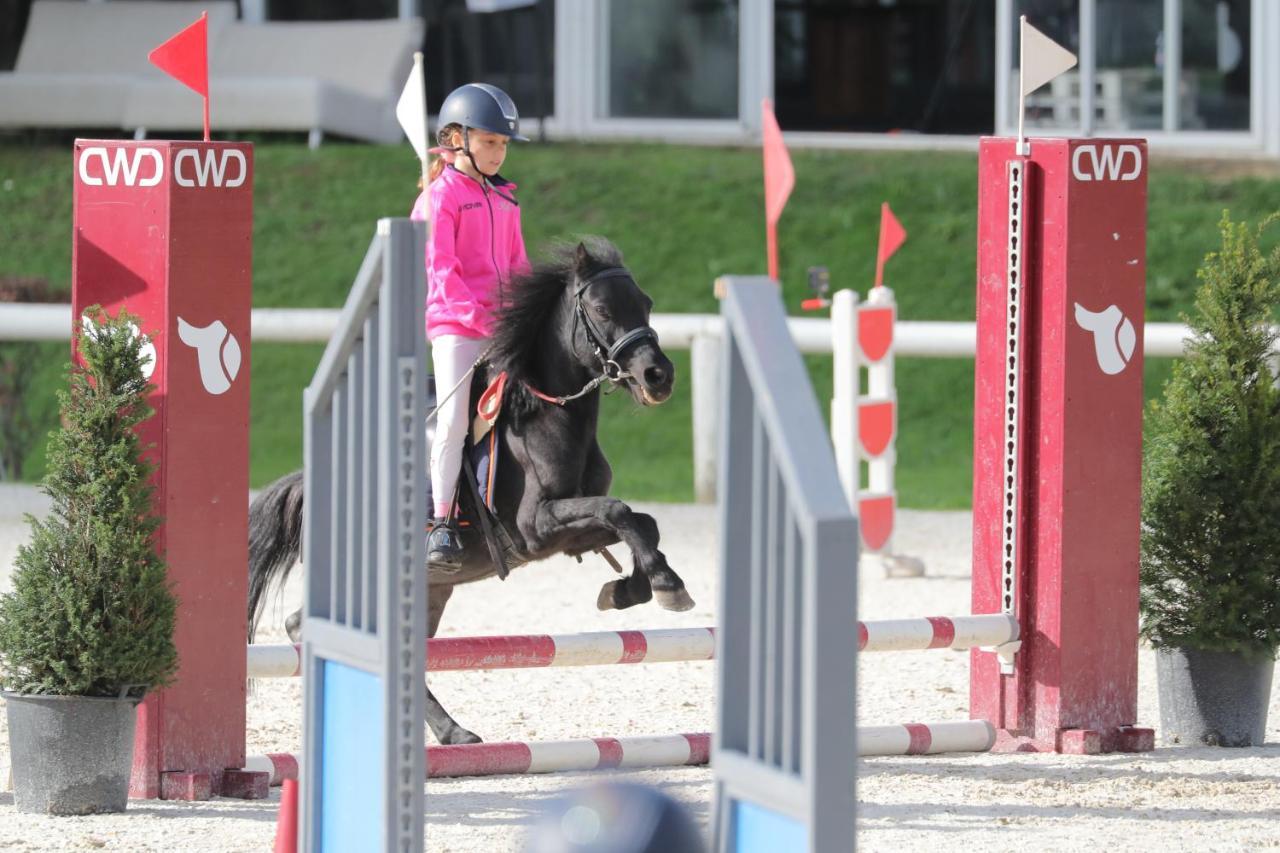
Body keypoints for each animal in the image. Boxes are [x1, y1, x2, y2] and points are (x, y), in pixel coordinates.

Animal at [245, 235, 696, 742]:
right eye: (601, 309)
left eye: (646, 304)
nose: (659, 376)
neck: (548, 414)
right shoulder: (538, 525)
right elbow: (618, 511)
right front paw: (665, 584)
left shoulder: (574, 532)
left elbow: (641, 521)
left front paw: (634, 588)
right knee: (301, 625)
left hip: (429, 589)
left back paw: (452, 732)